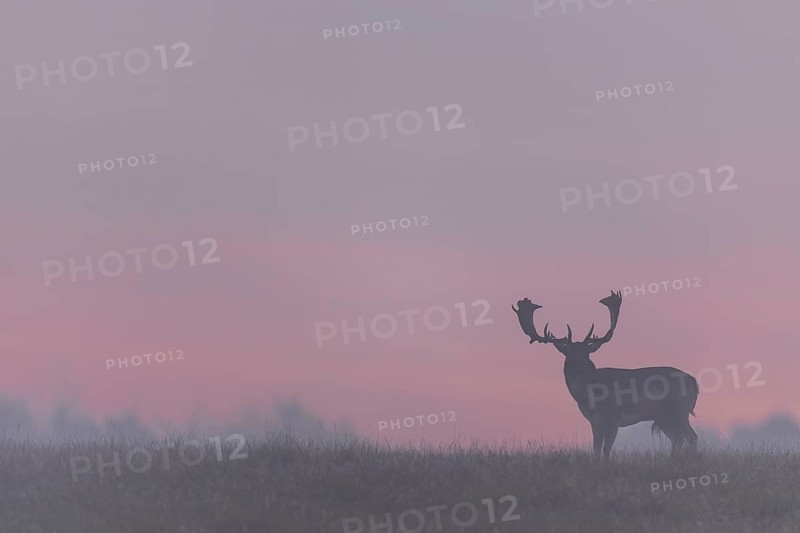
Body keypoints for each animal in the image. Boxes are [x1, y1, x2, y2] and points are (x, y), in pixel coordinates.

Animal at [511, 291, 698, 458]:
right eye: (569, 352)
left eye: (587, 351)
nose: (583, 362)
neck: (590, 397)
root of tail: (694, 382)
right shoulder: (595, 422)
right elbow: (596, 450)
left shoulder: (614, 417)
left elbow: (606, 449)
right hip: (666, 417)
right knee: (679, 439)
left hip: (678, 410)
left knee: (690, 437)